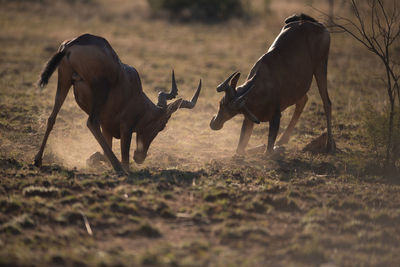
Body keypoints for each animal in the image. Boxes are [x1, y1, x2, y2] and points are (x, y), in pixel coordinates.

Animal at [34, 33, 202, 174]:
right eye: (162, 126)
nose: (140, 157)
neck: (134, 90)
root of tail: (74, 42)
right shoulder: (126, 128)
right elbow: (124, 157)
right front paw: (122, 166)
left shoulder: (107, 128)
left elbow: (103, 151)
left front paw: (90, 159)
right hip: (99, 89)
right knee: (91, 122)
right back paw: (118, 167)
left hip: (64, 81)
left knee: (52, 118)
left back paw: (38, 160)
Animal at [211, 14, 336, 157]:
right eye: (221, 103)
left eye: (232, 110)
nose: (214, 124)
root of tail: (316, 24)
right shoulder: (248, 119)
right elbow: (240, 149)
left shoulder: (276, 117)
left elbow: (268, 152)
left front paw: (274, 148)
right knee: (303, 100)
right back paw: (282, 140)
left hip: (321, 66)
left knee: (326, 102)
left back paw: (329, 146)